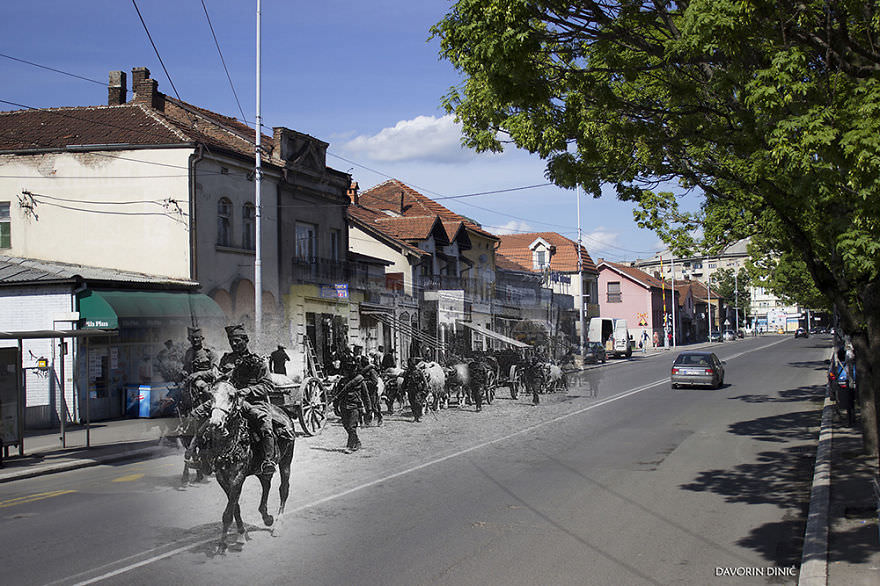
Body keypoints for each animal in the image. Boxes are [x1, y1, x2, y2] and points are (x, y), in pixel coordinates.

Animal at [205, 378, 296, 548]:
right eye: (211, 395)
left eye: (231, 396)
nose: (215, 423)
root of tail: (283, 413)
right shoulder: (222, 477)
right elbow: (235, 507)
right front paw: (241, 534)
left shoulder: (238, 476)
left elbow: (228, 512)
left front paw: (222, 544)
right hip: (262, 469)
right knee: (266, 484)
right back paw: (266, 517)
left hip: (286, 461)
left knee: (284, 489)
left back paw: (278, 525)